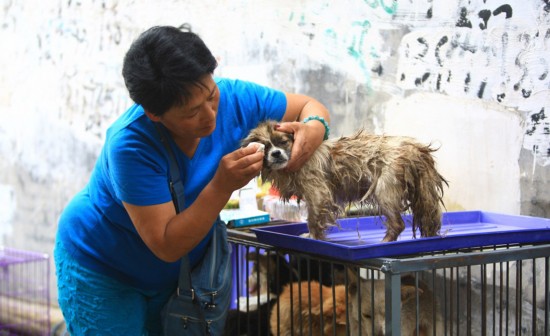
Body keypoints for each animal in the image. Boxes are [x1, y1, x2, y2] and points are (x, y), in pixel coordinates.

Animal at [244, 121, 450, 242]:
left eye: (283, 142)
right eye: (265, 147)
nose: (276, 153)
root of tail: (416, 148)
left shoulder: (318, 194)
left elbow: (313, 220)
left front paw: (313, 236)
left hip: (385, 190)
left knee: (398, 224)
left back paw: (385, 241)